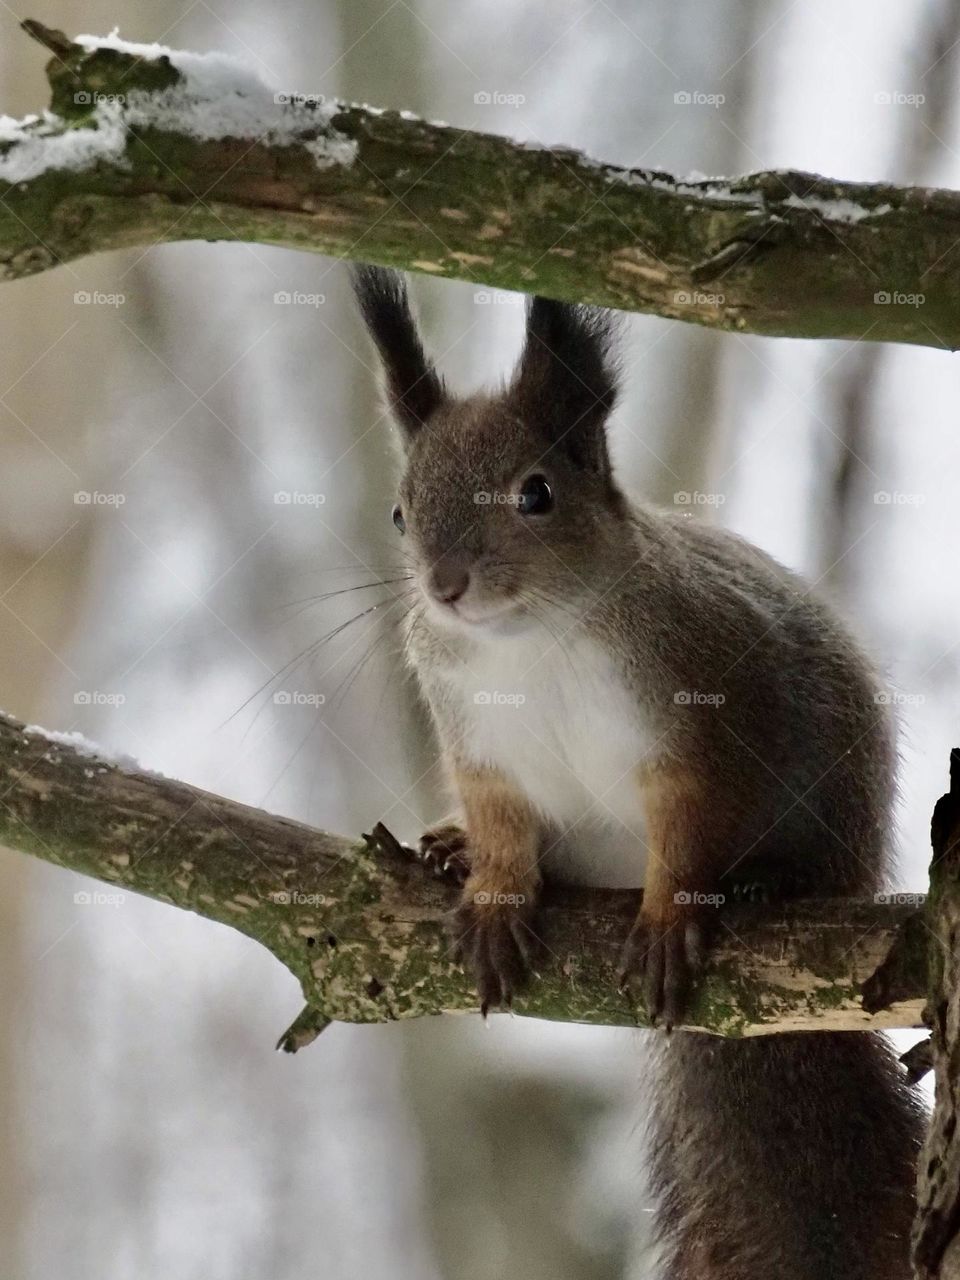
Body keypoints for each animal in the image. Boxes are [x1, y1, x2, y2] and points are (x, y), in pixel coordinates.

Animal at [352, 264, 924, 1280]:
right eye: (399, 511)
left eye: (537, 494)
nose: (445, 587)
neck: (532, 636)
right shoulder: (480, 750)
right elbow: (502, 825)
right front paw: (493, 890)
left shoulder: (693, 722)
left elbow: (689, 823)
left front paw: (668, 918)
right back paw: (449, 848)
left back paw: (772, 882)